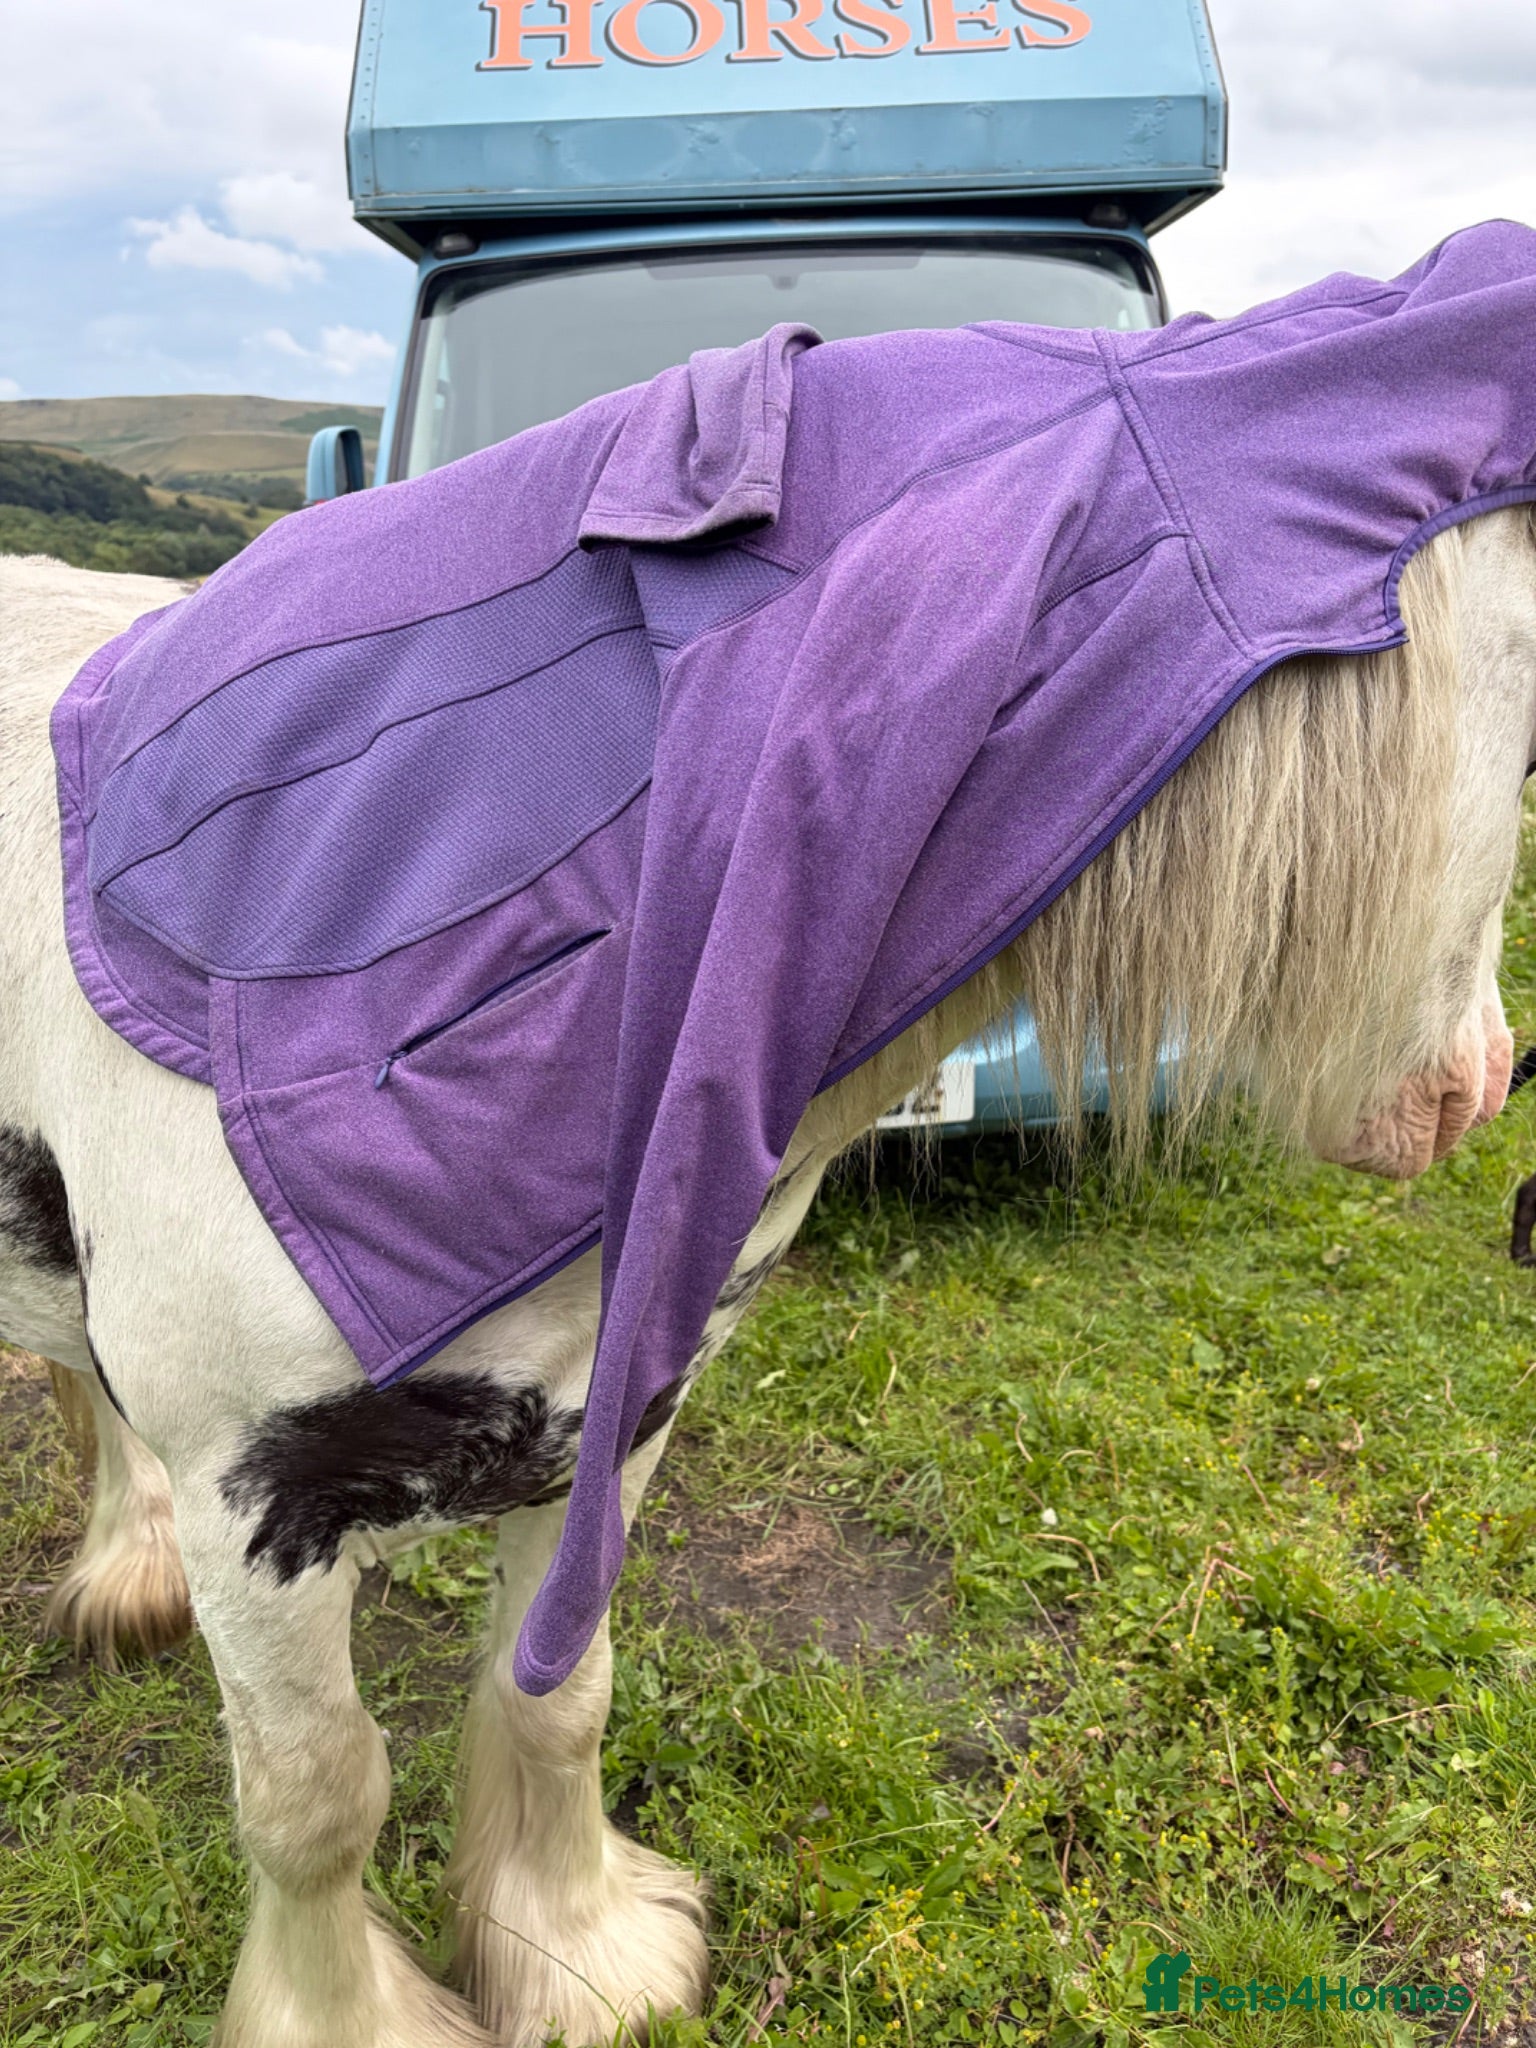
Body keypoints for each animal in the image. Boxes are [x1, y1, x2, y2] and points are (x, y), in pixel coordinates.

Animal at [1, 502, 1533, 2048]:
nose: (1479, 1087)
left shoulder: (606, 1423)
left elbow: (559, 1695)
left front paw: (577, 1957)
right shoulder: (257, 1500)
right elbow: (315, 1799)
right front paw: (352, 2018)